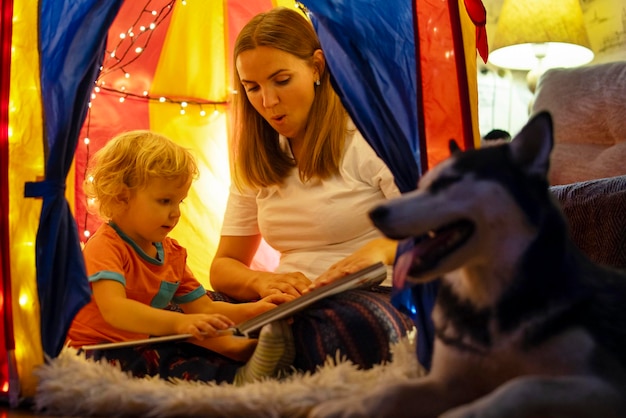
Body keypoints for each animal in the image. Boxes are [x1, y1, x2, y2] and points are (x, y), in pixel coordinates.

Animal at [310, 112, 624, 416]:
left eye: (447, 183)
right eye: (421, 184)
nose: (373, 212)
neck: (486, 299)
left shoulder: (602, 387)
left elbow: (521, 387)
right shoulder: (447, 382)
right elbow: (393, 391)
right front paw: (346, 405)